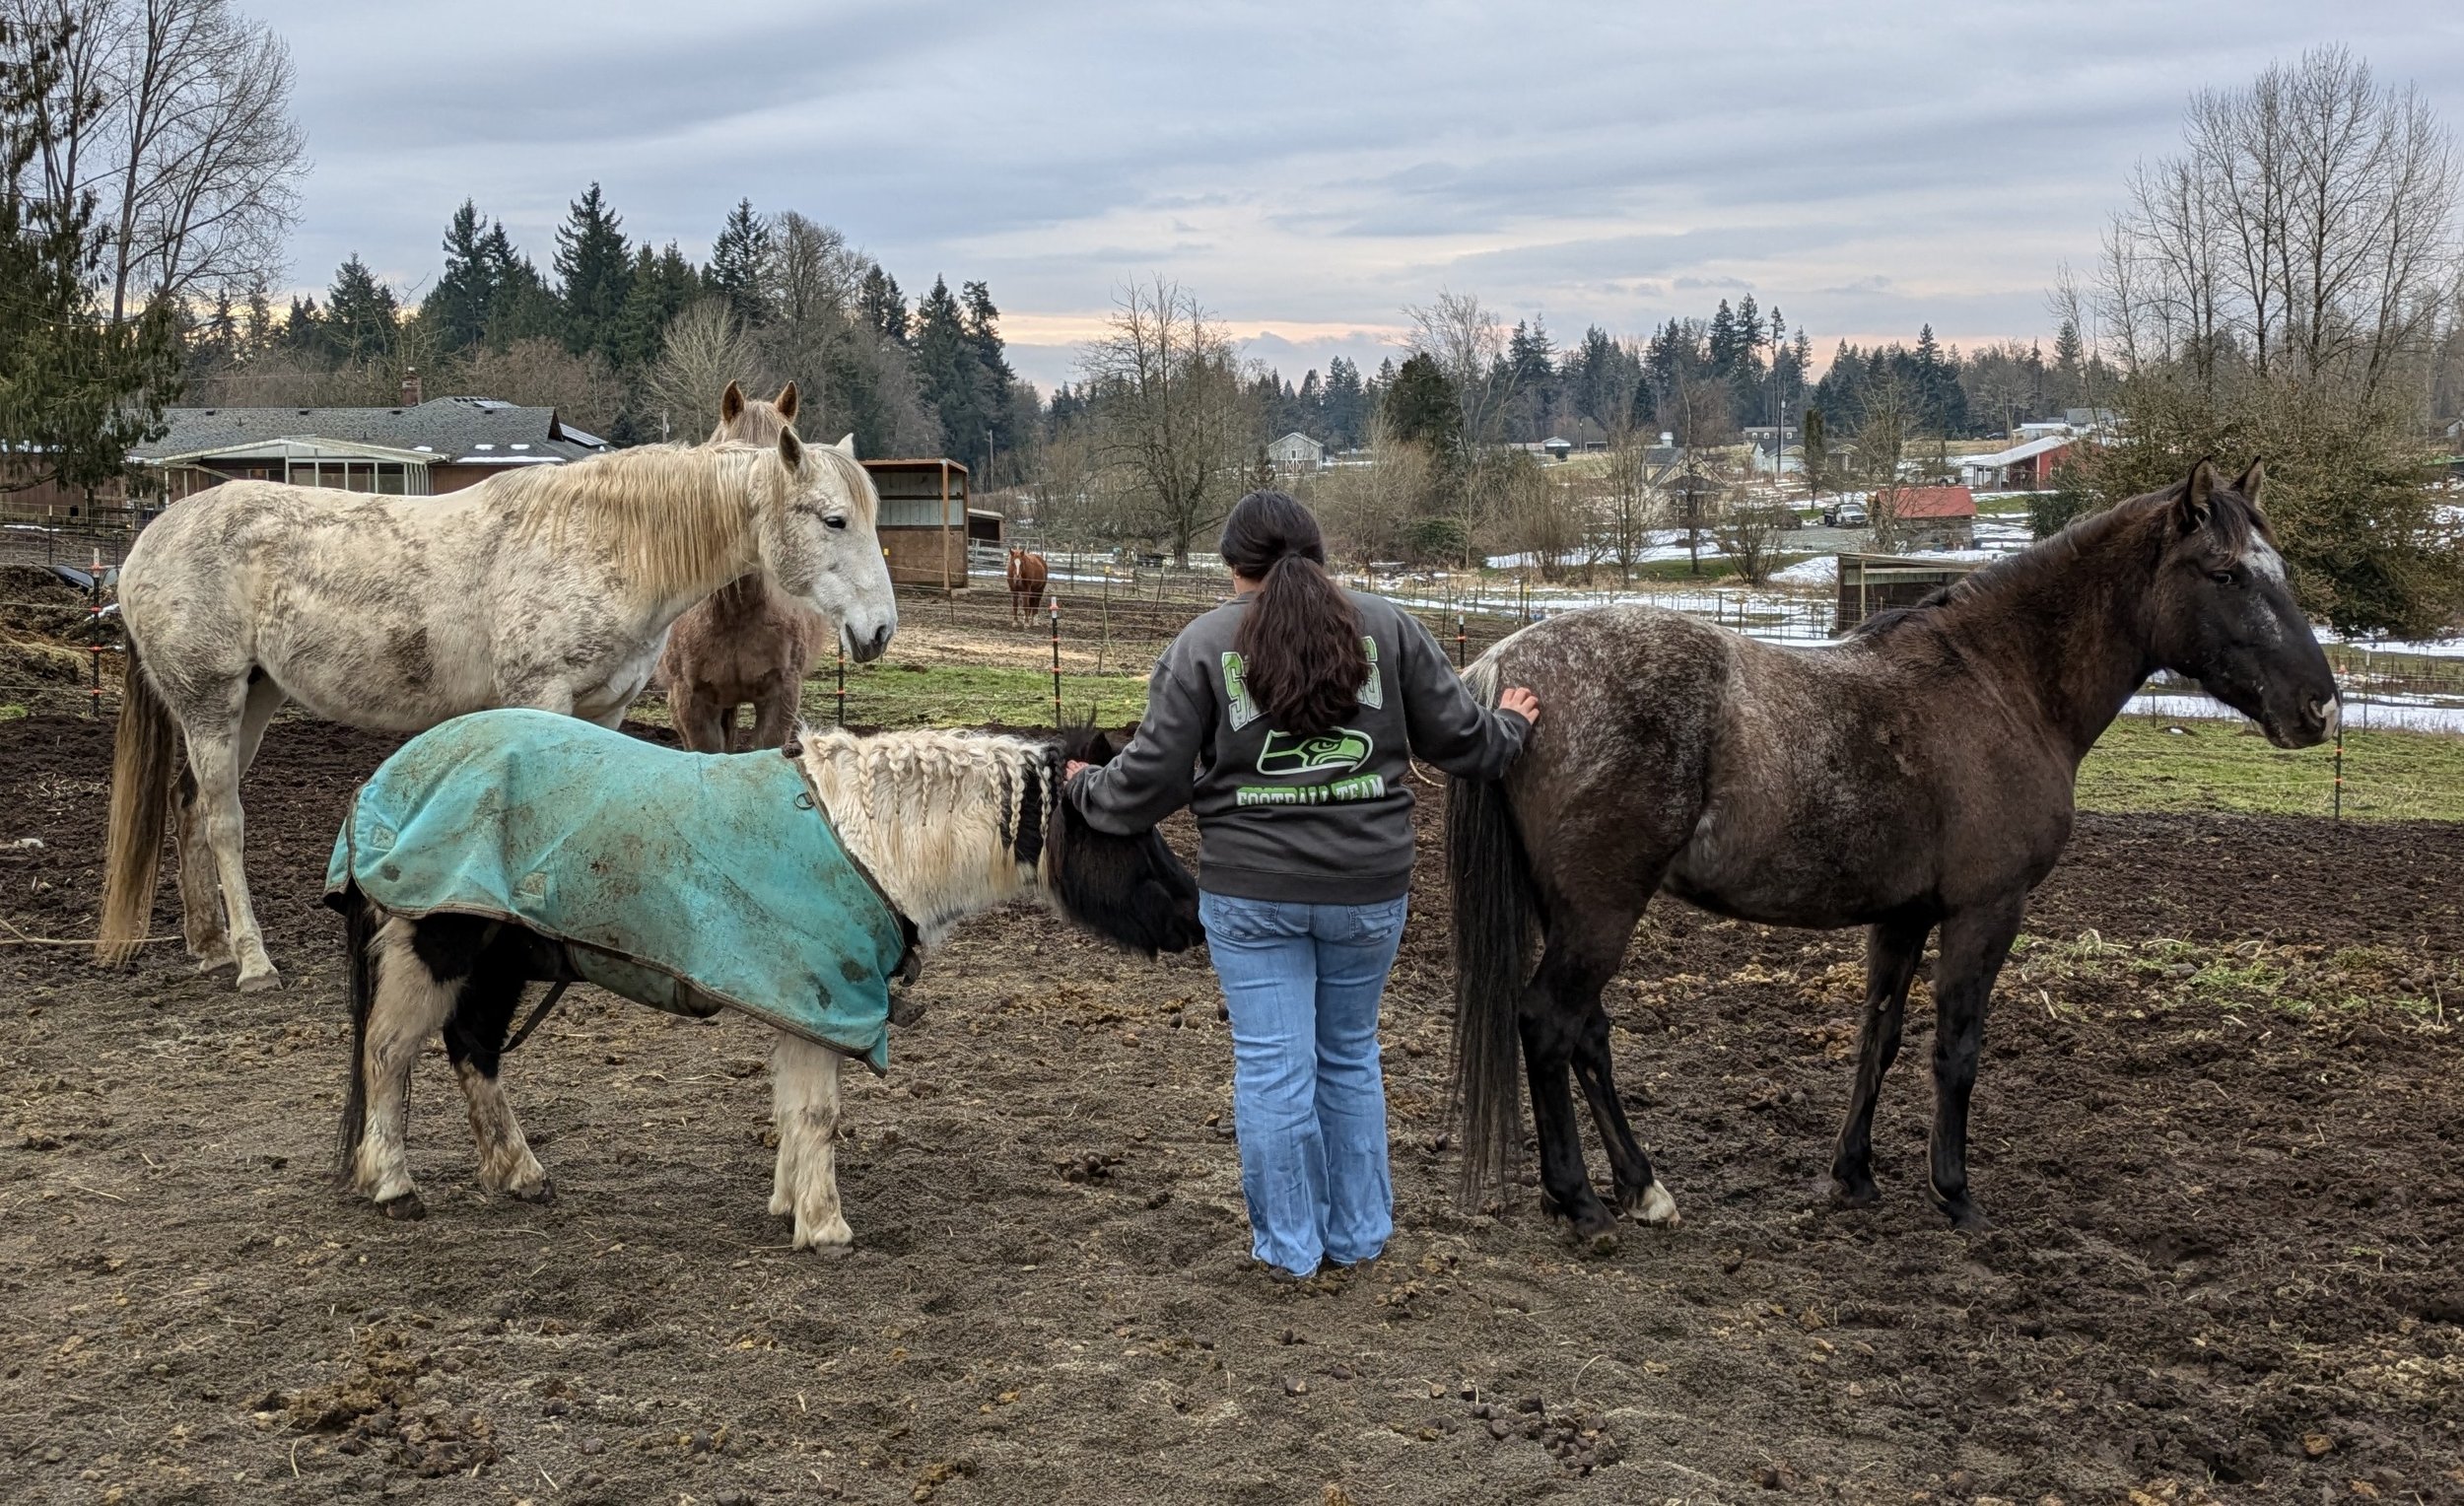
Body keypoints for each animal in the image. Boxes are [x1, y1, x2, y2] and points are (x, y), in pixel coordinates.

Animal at [97, 430, 899, 993]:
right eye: (834, 521)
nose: (879, 631)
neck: (606, 541)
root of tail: (148, 540)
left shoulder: (604, 708)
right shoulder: (541, 696)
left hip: (255, 697)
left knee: (188, 805)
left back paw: (208, 944)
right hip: (213, 699)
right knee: (223, 820)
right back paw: (252, 961)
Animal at [332, 723, 1201, 1252]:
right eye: (1132, 827)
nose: (1192, 916)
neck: (871, 842)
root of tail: (385, 780)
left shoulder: (800, 1008)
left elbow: (790, 1110)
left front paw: (790, 1204)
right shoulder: (820, 1002)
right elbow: (818, 1114)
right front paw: (825, 1227)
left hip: (499, 961)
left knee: (474, 1052)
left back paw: (518, 1174)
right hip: (433, 949)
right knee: (389, 1053)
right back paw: (392, 1184)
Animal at [1447, 460, 2338, 1246]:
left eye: (2279, 569)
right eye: (2225, 573)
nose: (2319, 707)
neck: (1999, 684)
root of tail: (1504, 672)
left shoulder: (1902, 918)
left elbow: (1879, 1037)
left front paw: (1855, 1176)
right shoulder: (1985, 911)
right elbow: (1957, 1049)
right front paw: (1956, 1195)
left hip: (1574, 911)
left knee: (1587, 1034)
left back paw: (1642, 1188)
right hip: (1600, 910)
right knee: (1550, 1024)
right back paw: (1582, 1203)